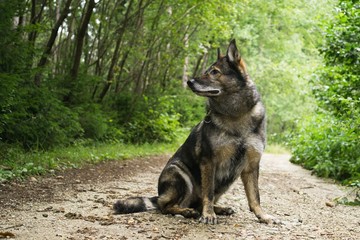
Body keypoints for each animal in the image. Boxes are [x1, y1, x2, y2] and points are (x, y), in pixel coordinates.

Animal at [114, 39, 278, 225]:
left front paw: (262, 216)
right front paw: (208, 215)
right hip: (180, 175)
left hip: (224, 183)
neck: (235, 115)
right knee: (166, 206)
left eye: (214, 72)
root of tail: (159, 195)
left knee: (198, 202)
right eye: (206, 71)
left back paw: (219, 209)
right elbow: (208, 193)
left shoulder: (251, 166)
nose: (189, 82)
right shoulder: (209, 161)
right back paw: (187, 211)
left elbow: (255, 196)